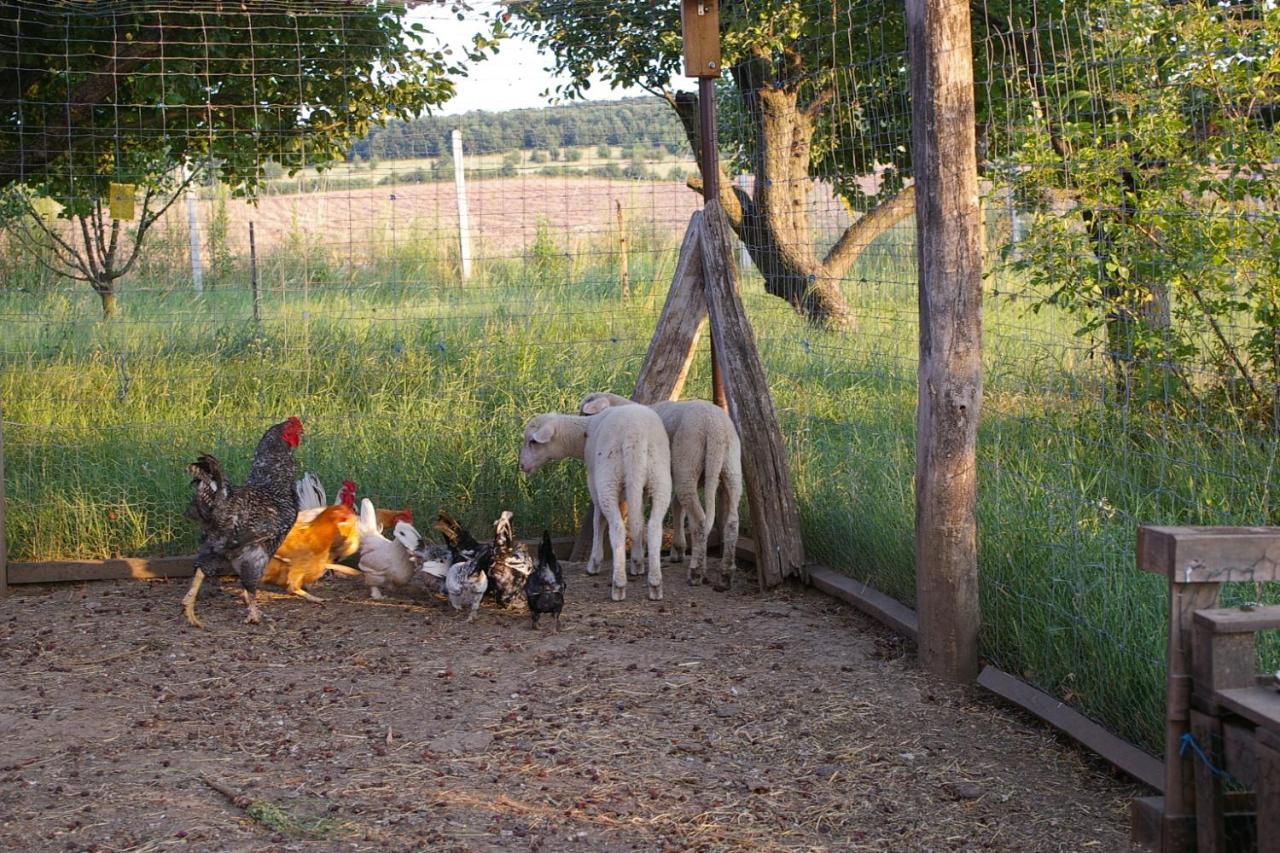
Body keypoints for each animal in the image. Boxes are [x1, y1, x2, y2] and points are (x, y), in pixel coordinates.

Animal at [522, 404, 680, 596]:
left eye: (532, 442)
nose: (521, 465)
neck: (585, 433)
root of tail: (635, 436)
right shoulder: (638, 490)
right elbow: (638, 518)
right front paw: (637, 562)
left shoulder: (593, 482)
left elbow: (598, 521)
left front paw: (594, 563)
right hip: (658, 476)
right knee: (653, 526)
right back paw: (655, 584)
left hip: (608, 477)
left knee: (617, 528)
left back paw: (618, 584)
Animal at [578, 389, 747, 589]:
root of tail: (715, 428)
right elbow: (676, 506)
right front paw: (677, 550)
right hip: (731, 466)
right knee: (731, 521)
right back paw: (726, 574)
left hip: (688, 461)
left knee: (699, 520)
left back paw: (696, 572)